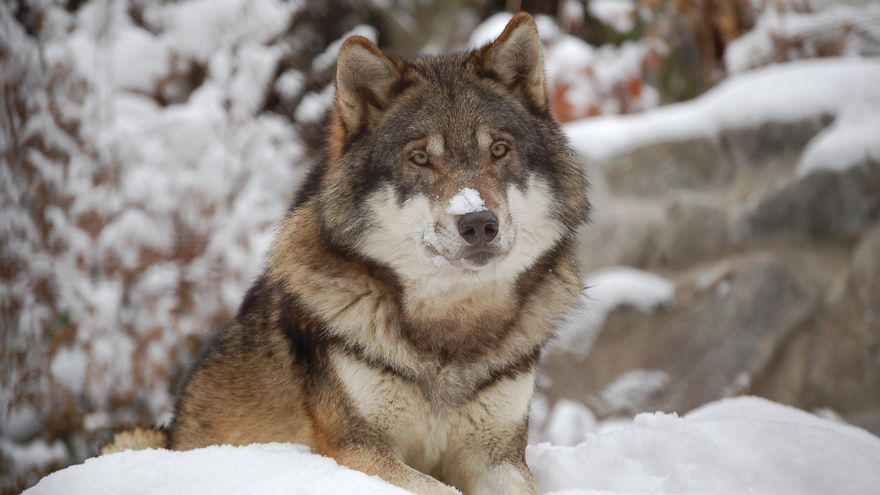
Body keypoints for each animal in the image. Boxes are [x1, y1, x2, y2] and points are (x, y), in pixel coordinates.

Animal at [103, 13, 589, 495]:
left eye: (499, 150)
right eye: (419, 159)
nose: (478, 223)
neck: (449, 333)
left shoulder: (497, 457)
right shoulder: (354, 450)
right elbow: (437, 489)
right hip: (135, 438)